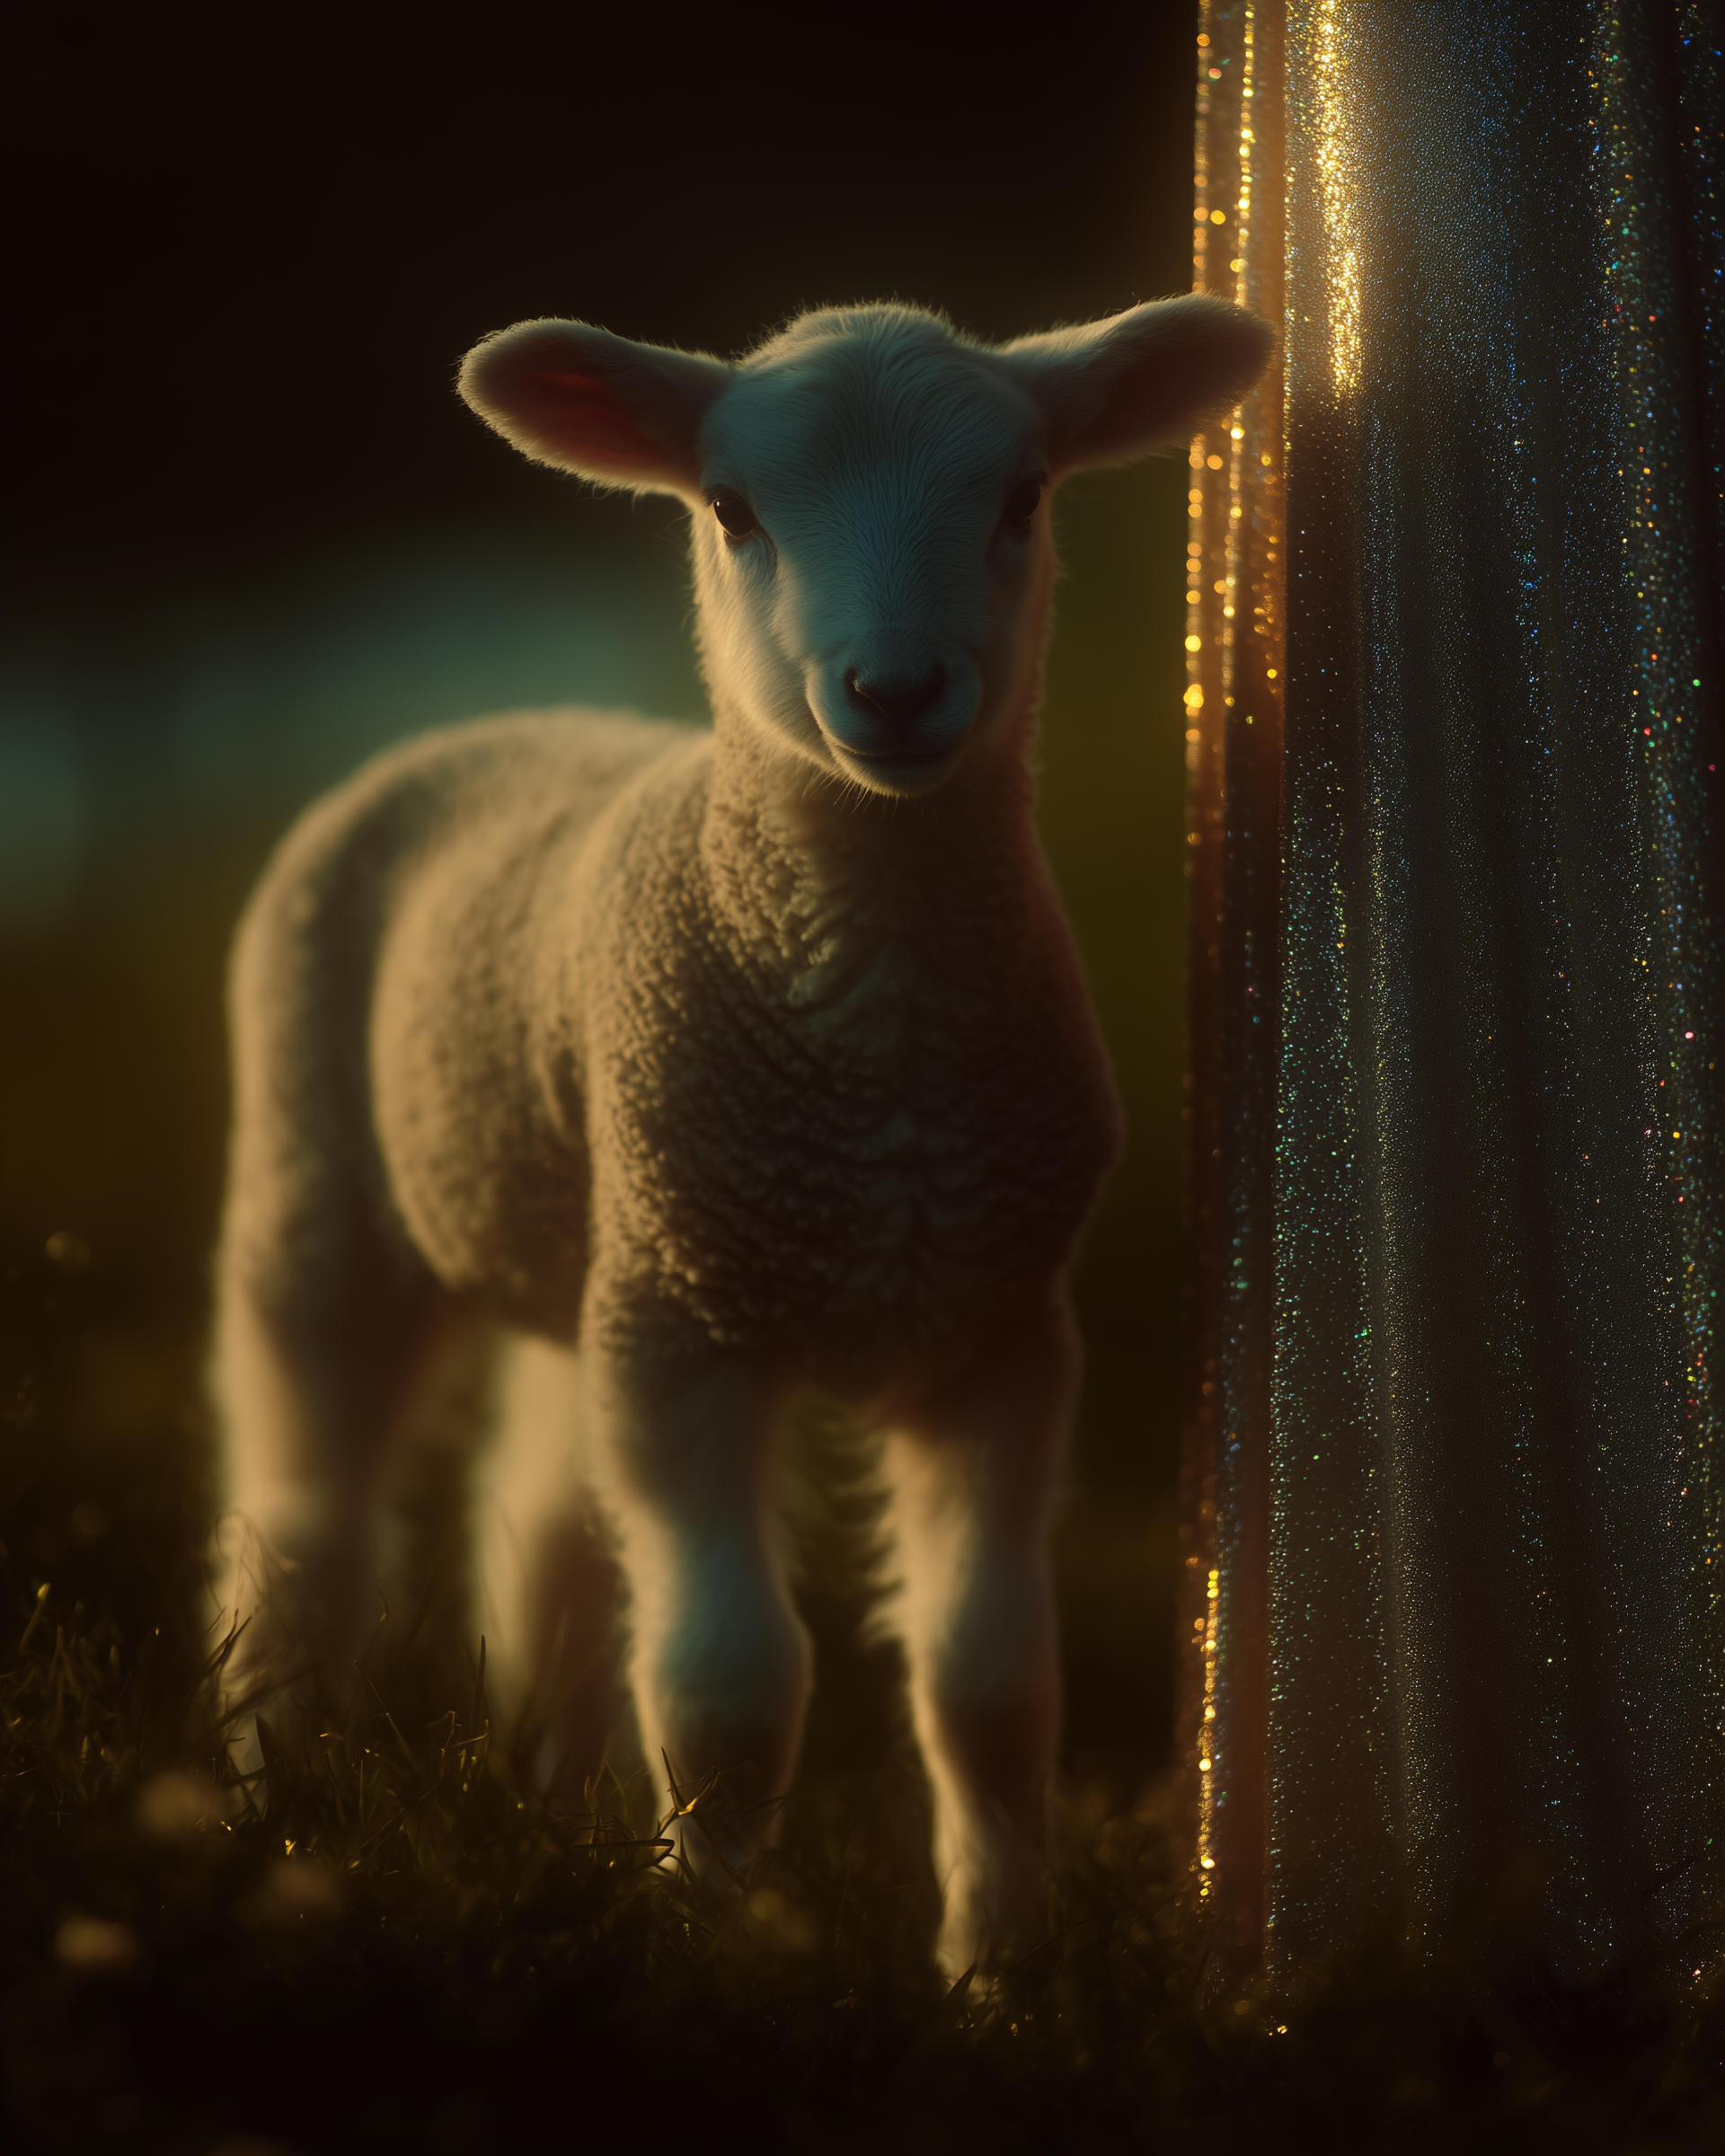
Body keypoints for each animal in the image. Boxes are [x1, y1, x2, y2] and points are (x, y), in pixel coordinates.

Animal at [211, 294, 1273, 1974]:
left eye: (1025, 496)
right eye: (732, 511)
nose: (896, 691)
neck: (887, 1084)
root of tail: (503, 712)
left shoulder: (997, 1334)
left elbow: (988, 1687)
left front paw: (997, 1973)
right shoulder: (695, 1332)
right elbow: (725, 1688)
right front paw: (714, 1953)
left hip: (596, 1244)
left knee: (543, 1541)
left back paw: (560, 1811)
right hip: (331, 1197)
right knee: (304, 1533)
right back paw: (269, 1814)